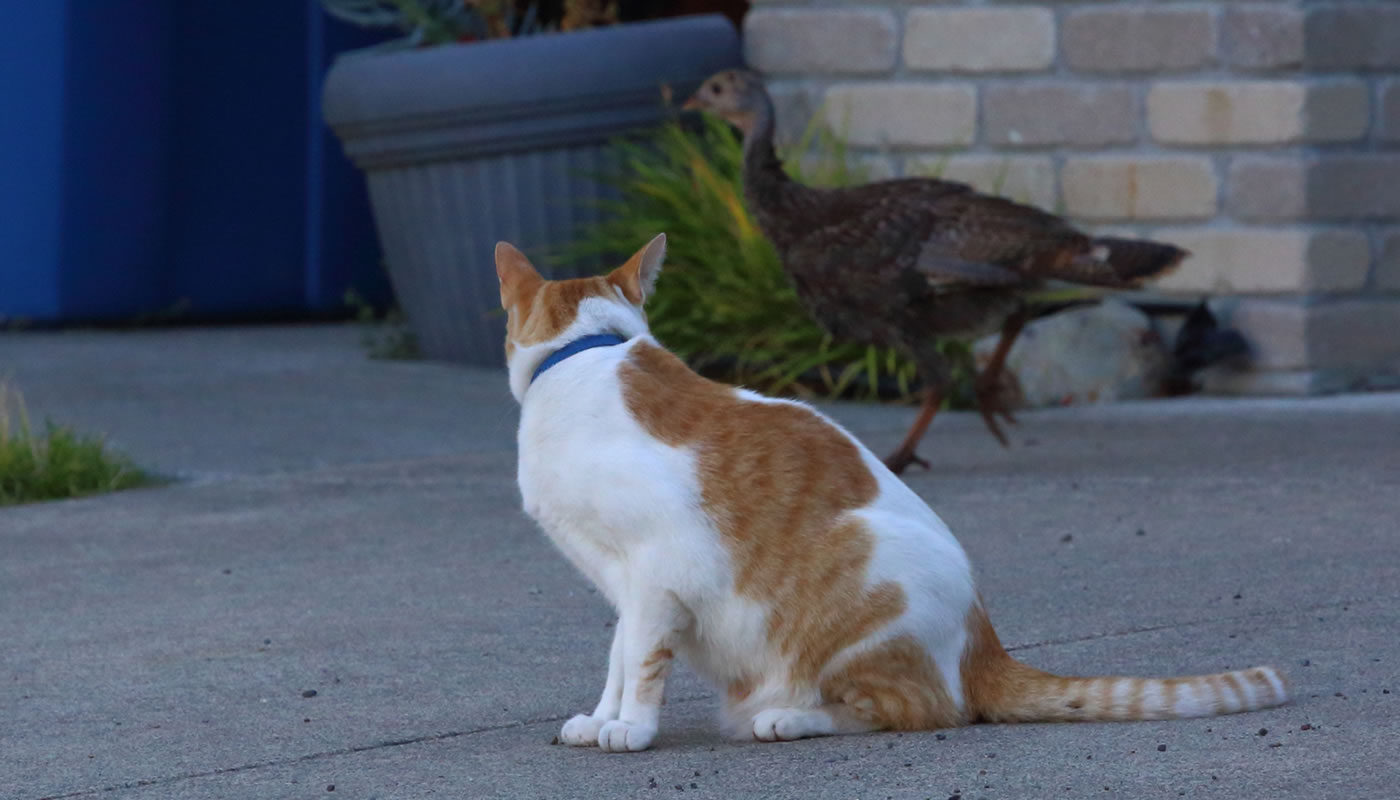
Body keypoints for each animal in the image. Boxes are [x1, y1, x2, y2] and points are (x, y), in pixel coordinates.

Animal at [495, 235, 1288, 756]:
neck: (583, 358)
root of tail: (984, 644)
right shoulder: (620, 580)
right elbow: (618, 655)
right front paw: (601, 717)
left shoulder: (655, 570)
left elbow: (642, 662)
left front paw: (632, 727)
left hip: (867, 572)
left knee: (918, 709)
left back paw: (791, 718)